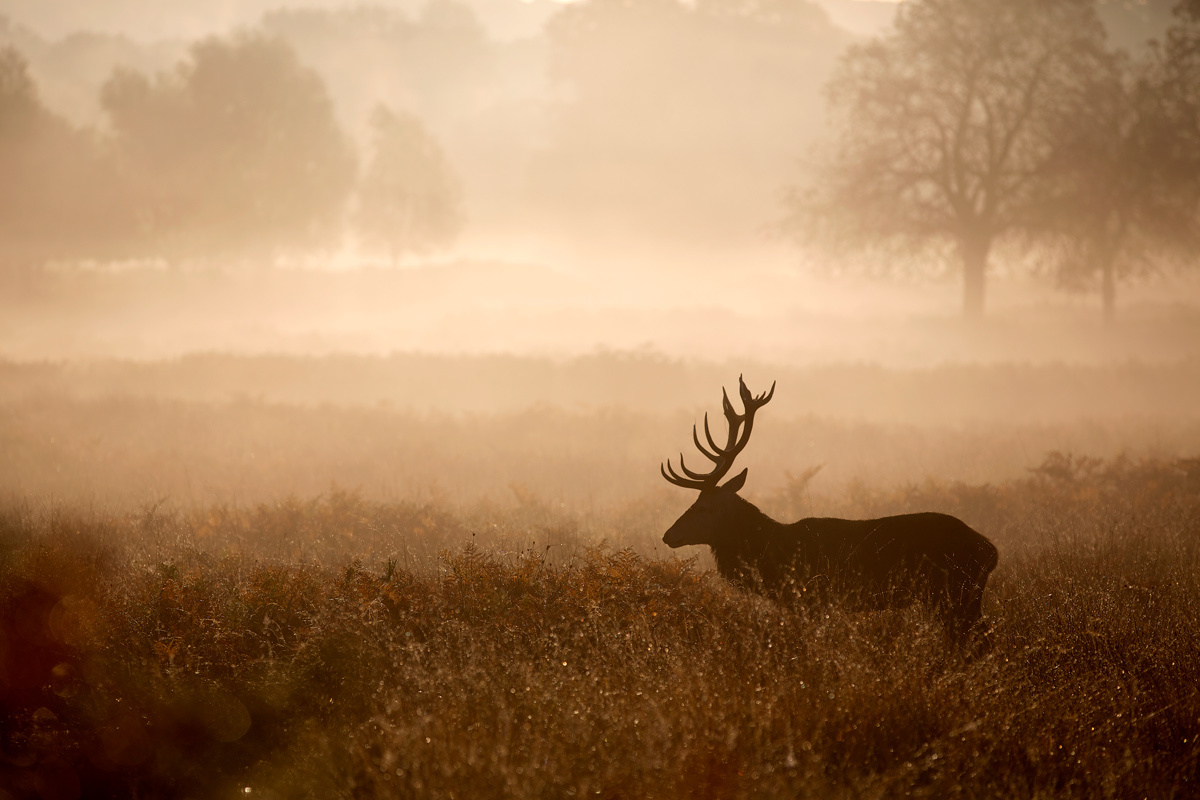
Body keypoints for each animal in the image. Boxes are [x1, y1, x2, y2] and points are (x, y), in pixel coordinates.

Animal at [662, 379, 998, 652]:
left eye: (703, 507)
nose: (668, 535)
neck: (774, 555)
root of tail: (991, 551)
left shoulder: (813, 596)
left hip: (956, 593)